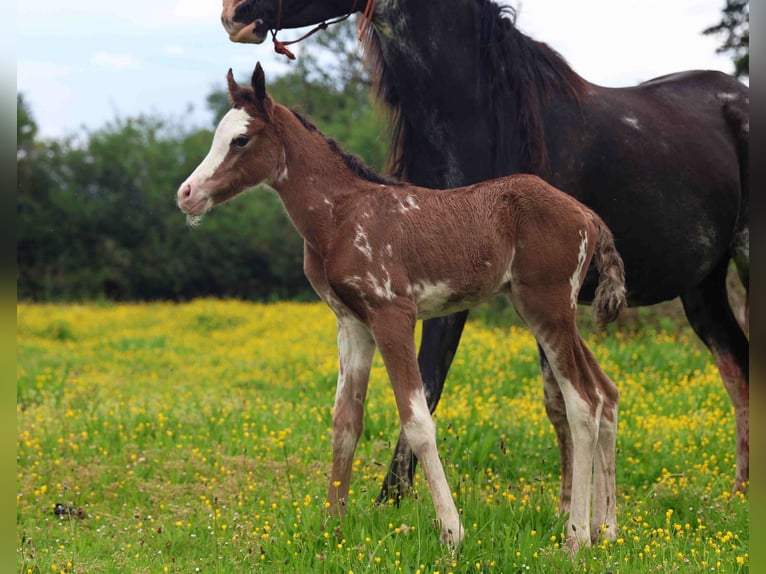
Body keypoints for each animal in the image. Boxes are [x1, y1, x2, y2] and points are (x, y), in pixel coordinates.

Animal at [177, 62, 627, 551]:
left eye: (240, 140)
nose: (187, 194)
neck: (340, 216)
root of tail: (588, 215)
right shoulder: (352, 325)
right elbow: (345, 422)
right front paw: (334, 526)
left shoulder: (392, 315)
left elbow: (417, 423)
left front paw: (452, 533)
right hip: (553, 310)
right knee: (605, 393)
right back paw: (606, 528)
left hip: (547, 305)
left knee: (582, 402)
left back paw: (576, 537)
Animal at [220, 0, 751, 503]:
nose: (233, 15)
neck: (486, 117)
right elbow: (546, 401)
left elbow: (435, 385)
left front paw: (393, 504)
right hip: (701, 290)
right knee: (737, 370)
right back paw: (740, 493)